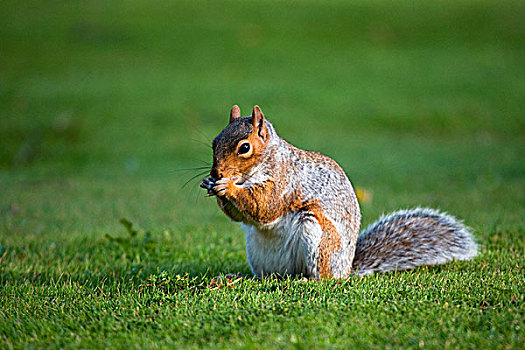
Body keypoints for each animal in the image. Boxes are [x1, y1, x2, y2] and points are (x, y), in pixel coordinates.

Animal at [201, 105, 478, 280]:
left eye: (244, 148)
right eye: (214, 142)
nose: (216, 172)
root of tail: (346, 268)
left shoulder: (285, 181)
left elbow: (264, 206)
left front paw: (227, 187)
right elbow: (244, 215)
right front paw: (210, 183)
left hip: (319, 239)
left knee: (325, 279)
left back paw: (308, 280)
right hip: (258, 251)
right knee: (269, 276)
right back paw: (241, 277)